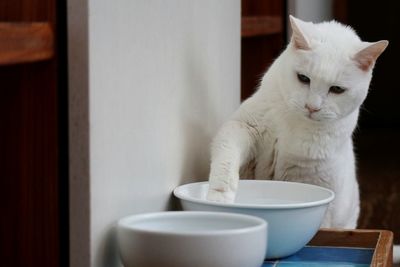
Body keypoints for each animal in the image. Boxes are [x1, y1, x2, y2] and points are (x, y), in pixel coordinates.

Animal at [206, 15, 388, 228]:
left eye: (337, 89)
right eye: (303, 78)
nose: (312, 107)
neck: (295, 123)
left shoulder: (319, 183)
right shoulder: (242, 126)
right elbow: (226, 161)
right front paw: (218, 200)